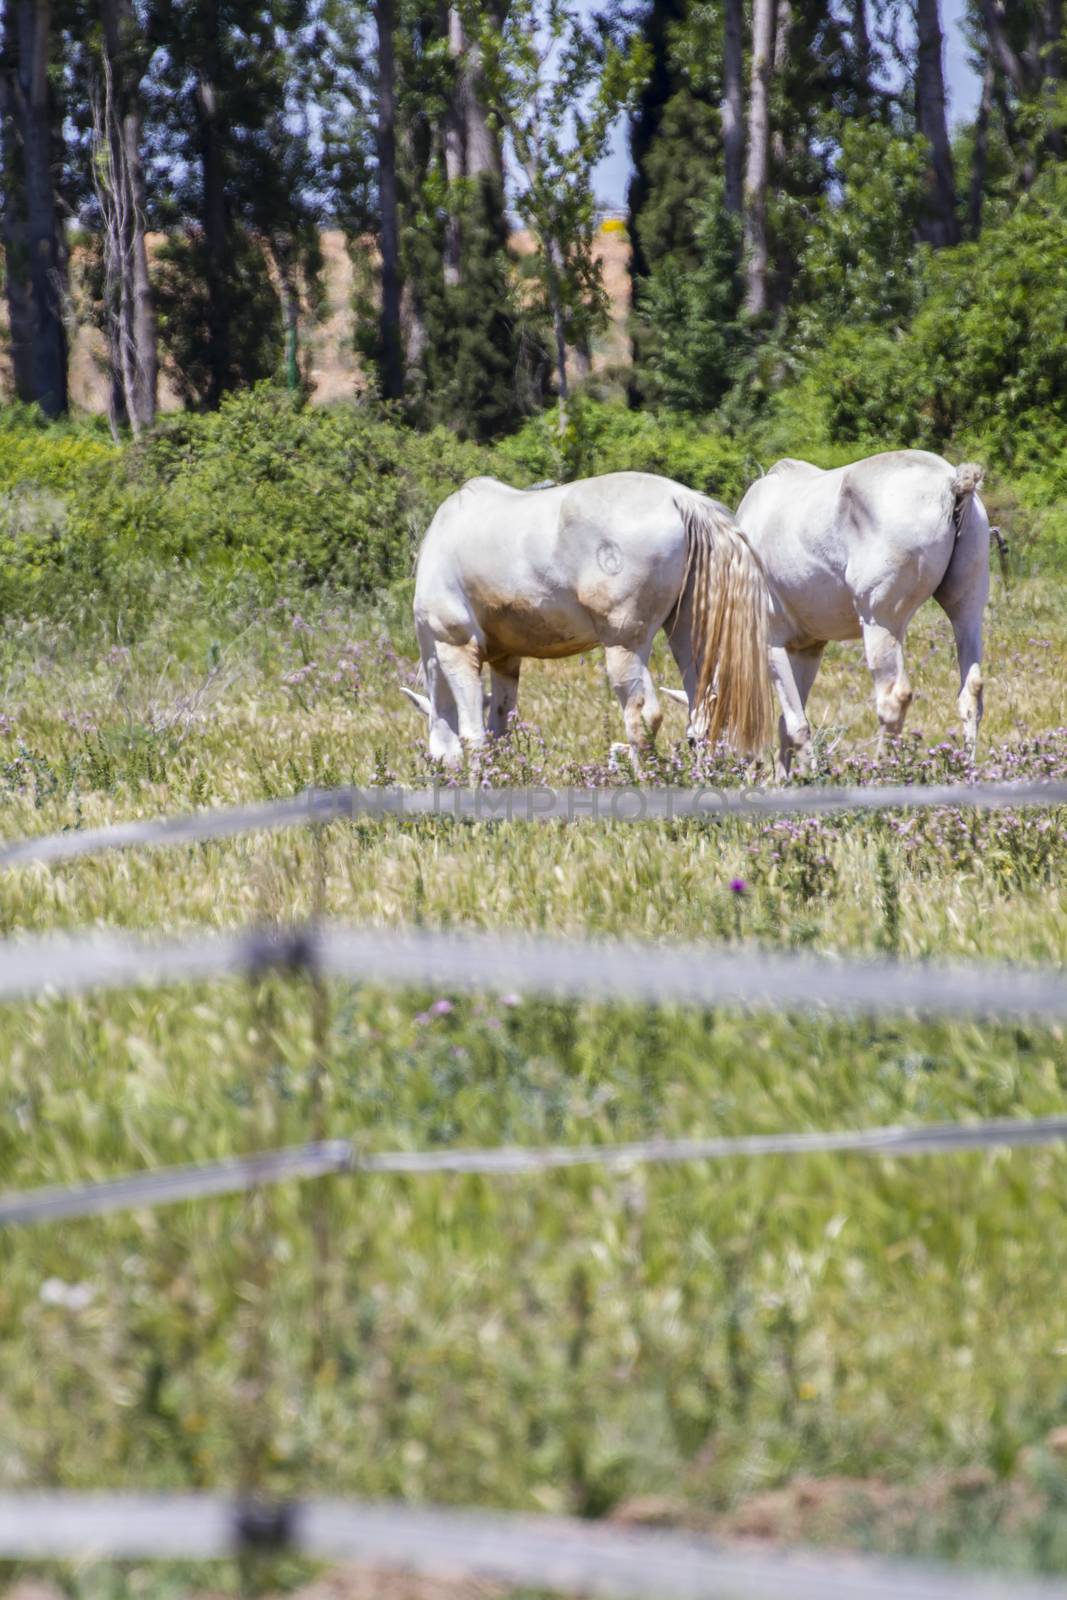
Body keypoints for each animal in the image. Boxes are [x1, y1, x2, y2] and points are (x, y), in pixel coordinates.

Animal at [399, 470, 767, 764]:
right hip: (688, 635)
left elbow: (472, 736)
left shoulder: (455, 649)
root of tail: (680, 498)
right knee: (704, 711)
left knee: (643, 716)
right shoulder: (506, 661)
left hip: (624, 646)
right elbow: (498, 730)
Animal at [687, 448, 998, 777]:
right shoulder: (807, 651)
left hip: (880, 624)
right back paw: (967, 768)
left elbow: (796, 725)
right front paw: (782, 780)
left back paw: (882, 772)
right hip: (966, 611)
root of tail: (950, 482)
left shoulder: (771, 644)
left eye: (694, 740)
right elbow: (788, 723)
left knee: (893, 699)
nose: (700, 773)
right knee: (971, 692)